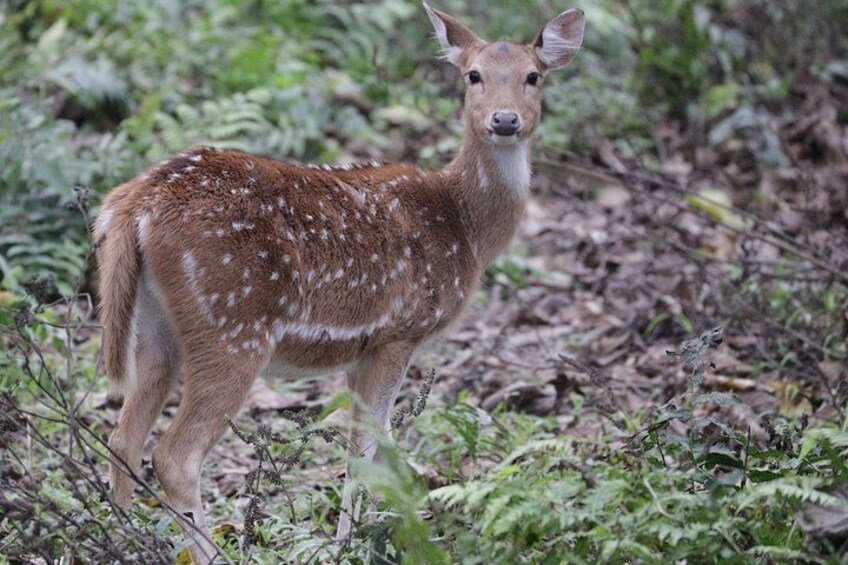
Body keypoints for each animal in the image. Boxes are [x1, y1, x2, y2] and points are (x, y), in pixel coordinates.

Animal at [94, 3, 584, 562]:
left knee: (123, 438)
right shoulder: (400, 331)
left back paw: (121, 539)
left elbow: (375, 445)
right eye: (473, 75)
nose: (504, 120)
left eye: (533, 76)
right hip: (231, 323)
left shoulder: (362, 349)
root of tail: (135, 203)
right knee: (174, 454)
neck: (465, 226)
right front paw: (354, 544)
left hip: (157, 328)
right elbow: (369, 447)